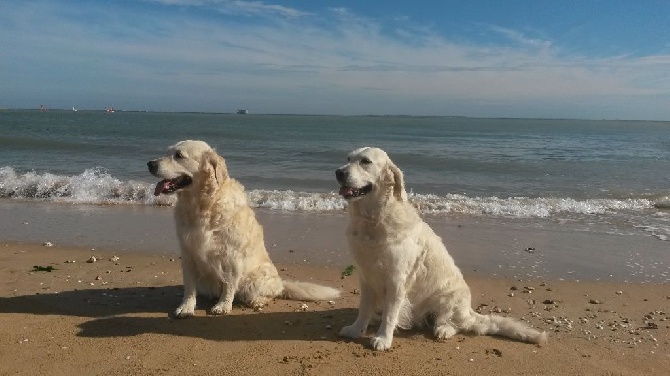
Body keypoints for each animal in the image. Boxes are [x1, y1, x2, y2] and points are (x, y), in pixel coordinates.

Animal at [148, 140, 342, 318]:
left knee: (266, 294)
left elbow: (229, 285)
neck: (203, 205)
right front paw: (186, 307)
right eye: (167, 152)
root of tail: (281, 283)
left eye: (179, 155)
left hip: (257, 278)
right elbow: (189, 286)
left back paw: (257, 301)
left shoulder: (231, 256)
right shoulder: (188, 252)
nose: (150, 164)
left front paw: (223, 306)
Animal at [334, 146, 544, 350]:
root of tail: (469, 311)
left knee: (458, 324)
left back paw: (444, 330)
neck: (373, 220)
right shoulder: (366, 275)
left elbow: (390, 313)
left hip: (448, 299)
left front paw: (383, 338)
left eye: (366, 161)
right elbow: (364, 308)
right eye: (348, 159)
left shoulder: (396, 279)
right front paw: (356, 329)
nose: (339, 172)